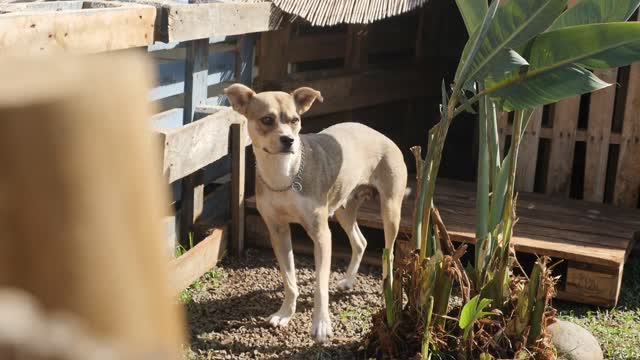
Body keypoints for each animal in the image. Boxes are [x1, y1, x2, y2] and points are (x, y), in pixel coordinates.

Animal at [222, 83, 408, 342]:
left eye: (296, 120)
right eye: (267, 119)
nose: (289, 140)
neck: (285, 176)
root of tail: (384, 136)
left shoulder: (321, 235)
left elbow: (320, 286)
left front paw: (321, 325)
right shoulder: (277, 232)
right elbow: (289, 280)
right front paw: (285, 314)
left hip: (390, 210)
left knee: (388, 252)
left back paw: (387, 288)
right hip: (344, 209)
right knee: (360, 242)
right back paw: (348, 280)